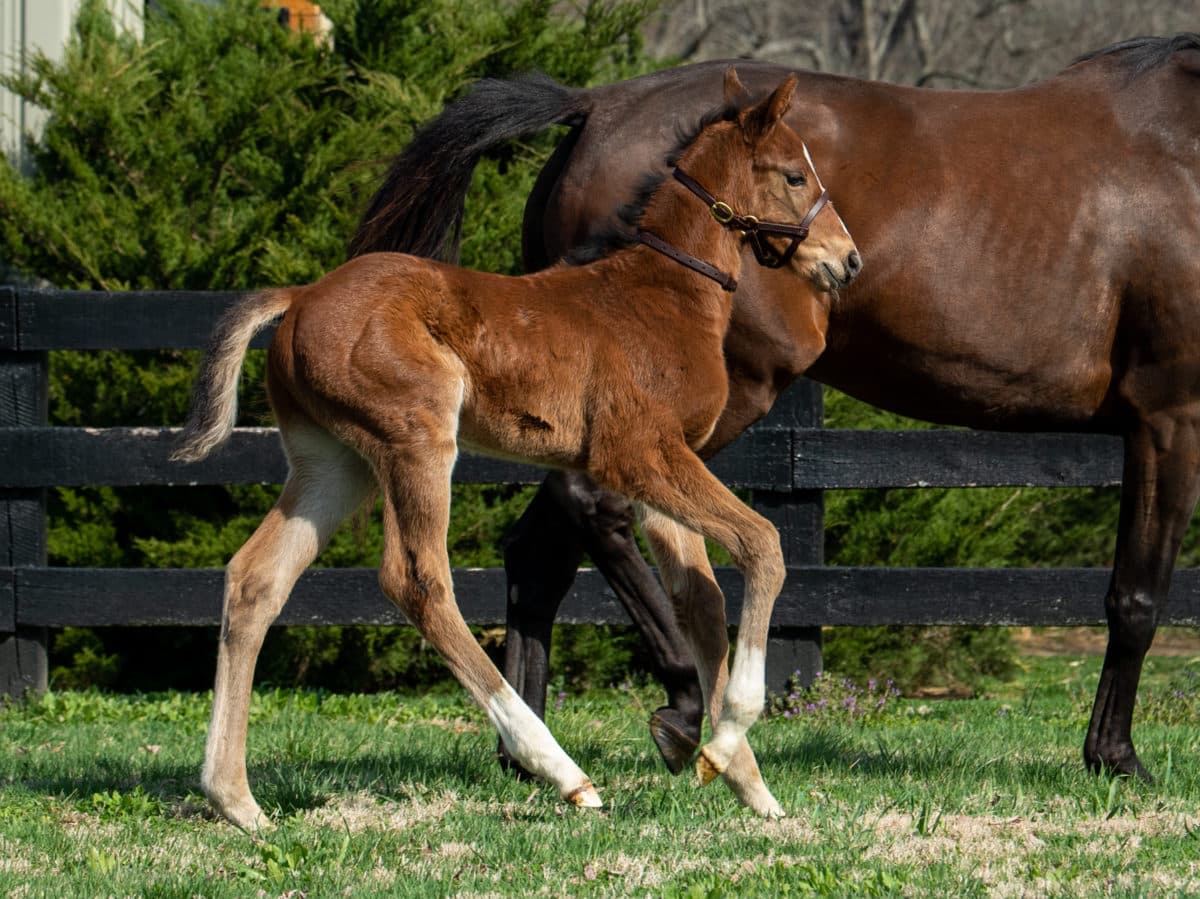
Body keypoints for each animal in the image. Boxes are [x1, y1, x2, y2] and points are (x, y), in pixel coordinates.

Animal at [174, 73, 859, 830]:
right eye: (794, 174)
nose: (847, 259)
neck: (663, 296)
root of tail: (299, 299)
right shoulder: (636, 455)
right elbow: (763, 542)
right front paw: (731, 729)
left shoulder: (664, 475)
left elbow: (702, 602)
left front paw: (740, 776)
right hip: (416, 440)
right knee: (417, 582)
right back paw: (561, 770)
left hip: (334, 465)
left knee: (255, 579)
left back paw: (236, 800)